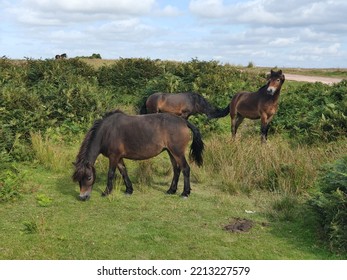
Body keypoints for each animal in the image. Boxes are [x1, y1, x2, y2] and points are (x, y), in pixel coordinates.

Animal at [72, 109, 204, 199]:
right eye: (78, 179)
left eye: (89, 177)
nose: (83, 197)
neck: (107, 132)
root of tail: (183, 121)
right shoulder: (119, 157)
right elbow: (123, 171)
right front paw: (129, 190)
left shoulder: (114, 157)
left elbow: (111, 173)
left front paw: (106, 192)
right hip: (171, 152)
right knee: (176, 170)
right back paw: (171, 190)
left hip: (177, 152)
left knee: (185, 169)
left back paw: (185, 193)